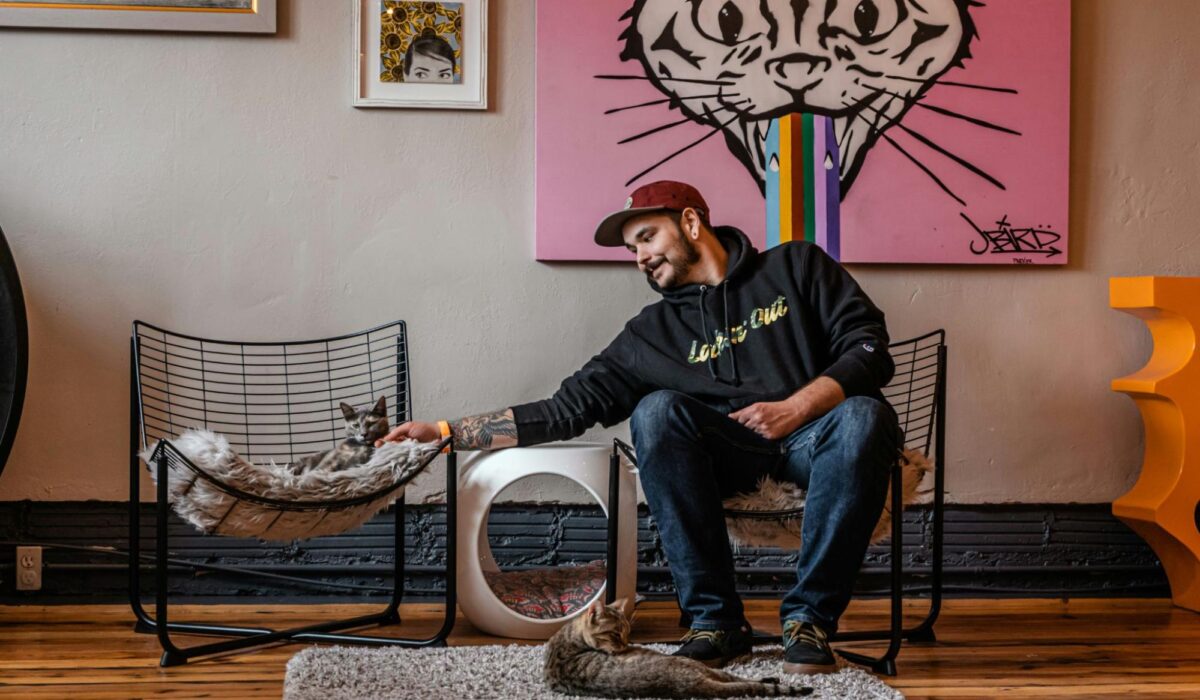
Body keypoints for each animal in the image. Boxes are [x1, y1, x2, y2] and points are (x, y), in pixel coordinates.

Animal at [547, 600, 816, 696]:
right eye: (615, 633)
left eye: (627, 632)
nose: (625, 644)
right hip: (694, 665)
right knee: (738, 678)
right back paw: (772, 679)